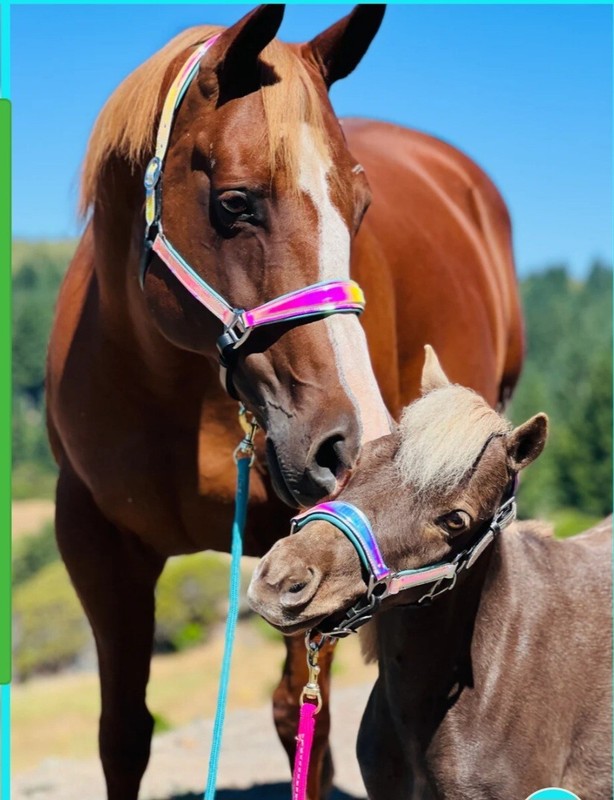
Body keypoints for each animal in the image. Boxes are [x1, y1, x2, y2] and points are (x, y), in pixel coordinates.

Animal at [45, 5, 524, 799]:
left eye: (360, 210)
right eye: (235, 203)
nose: (351, 444)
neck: (170, 389)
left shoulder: (313, 544)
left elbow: (304, 724)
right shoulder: (93, 541)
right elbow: (123, 734)